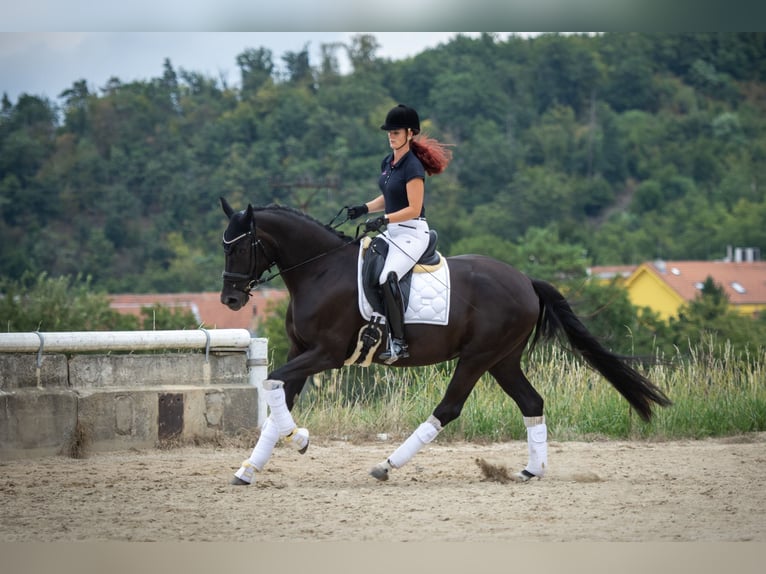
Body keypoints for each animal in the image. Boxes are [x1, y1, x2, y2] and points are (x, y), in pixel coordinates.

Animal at [220, 199, 672, 486]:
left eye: (239, 248)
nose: (230, 300)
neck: (320, 271)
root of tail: (525, 281)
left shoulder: (326, 354)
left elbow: (273, 383)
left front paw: (299, 439)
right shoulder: (303, 352)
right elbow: (278, 393)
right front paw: (249, 468)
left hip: (477, 357)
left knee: (449, 408)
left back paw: (387, 465)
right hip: (503, 359)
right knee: (531, 402)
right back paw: (531, 471)